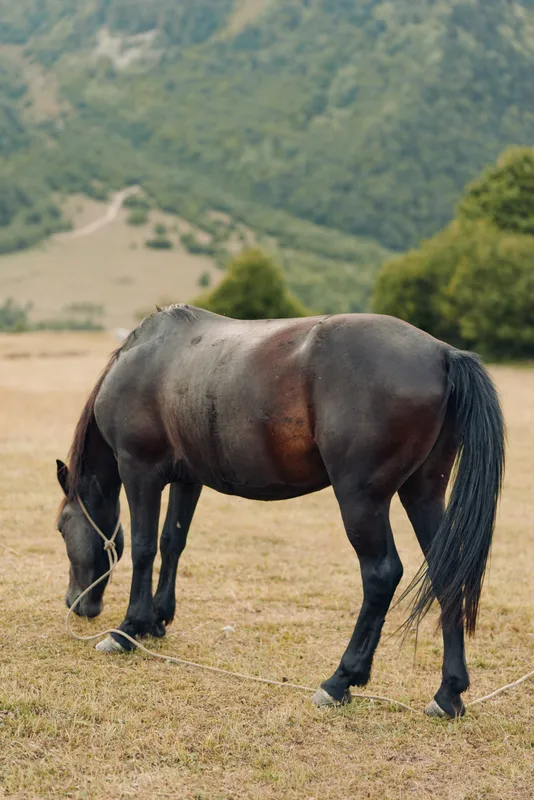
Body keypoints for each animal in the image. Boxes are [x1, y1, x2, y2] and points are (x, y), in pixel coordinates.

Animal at [56, 305, 504, 718]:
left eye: (61, 527)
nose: (75, 602)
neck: (147, 356)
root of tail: (442, 353)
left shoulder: (139, 471)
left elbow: (144, 547)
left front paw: (129, 629)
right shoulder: (187, 479)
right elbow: (172, 542)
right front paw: (157, 620)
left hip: (362, 501)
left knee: (381, 575)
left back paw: (340, 681)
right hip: (423, 493)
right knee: (446, 573)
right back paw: (448, 693)